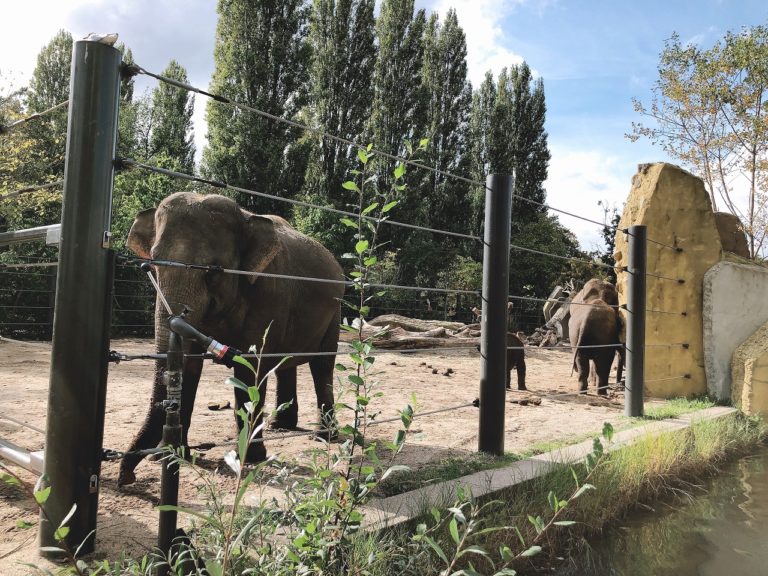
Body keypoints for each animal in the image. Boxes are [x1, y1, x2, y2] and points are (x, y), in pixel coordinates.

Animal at [118, 194, 344, 486]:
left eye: (212, 271)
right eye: (154, 262)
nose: (127, 478)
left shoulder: (268, 293)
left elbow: (249, 366)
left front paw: (250, 457)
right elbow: (190, 365)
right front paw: (174, 456)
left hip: (335, 311)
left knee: (322, 365)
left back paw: (323, 437)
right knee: (284, 364)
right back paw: (281, 426)